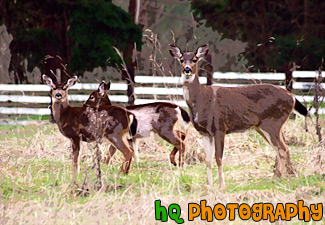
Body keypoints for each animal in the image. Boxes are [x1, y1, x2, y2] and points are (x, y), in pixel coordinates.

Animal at [168, 43, 308, 188]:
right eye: (181, 59)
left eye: (195, 59)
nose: (187, 69)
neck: (201, 99)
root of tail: (292, 97)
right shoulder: (204, 133)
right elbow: (208, 160)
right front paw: (209, 186)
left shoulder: (219, 127)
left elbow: (218, 158)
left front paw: (222, 186)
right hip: (263, 127)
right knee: (284, 148)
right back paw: (286, 175)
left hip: (272, 123)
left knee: (282, 149)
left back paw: (275, 178)